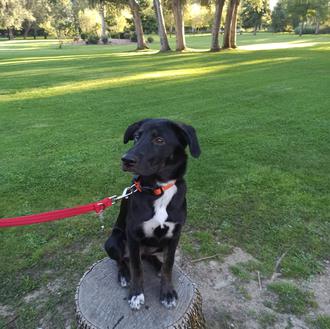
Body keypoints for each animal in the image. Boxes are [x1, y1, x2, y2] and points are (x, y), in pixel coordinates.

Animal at [104, 119, 200, 308]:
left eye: (159, 140)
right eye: (136, 136)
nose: (126, 159)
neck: (158, 188)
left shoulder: (175, 234)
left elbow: (169, 265)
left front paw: (167, 292)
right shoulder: (133, 235)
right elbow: (137, 268)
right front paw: (136, 294)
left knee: (148, 256)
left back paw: (157, 265)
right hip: (113, 241)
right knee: (122, 260)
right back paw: (124, 274)